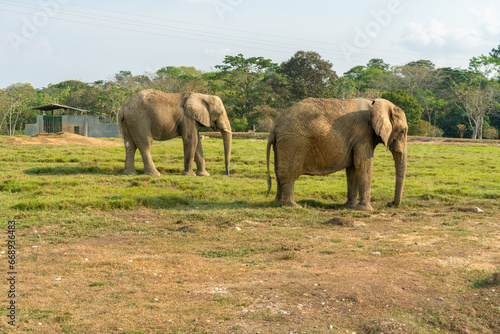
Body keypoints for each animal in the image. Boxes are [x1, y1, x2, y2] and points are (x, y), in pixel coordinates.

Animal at [266, 98, 406, 210]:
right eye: (403, 131)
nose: (390, 203)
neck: (376, 103)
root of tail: (274, 127)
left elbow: (353, 168)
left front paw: (350, 206)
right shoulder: (363, 135)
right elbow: (363, 165)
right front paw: (366, 209)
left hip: (282, 144)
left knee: (279, 173)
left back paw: (278, 203)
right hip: (293, 142)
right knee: (289, 175)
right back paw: (294, 206)